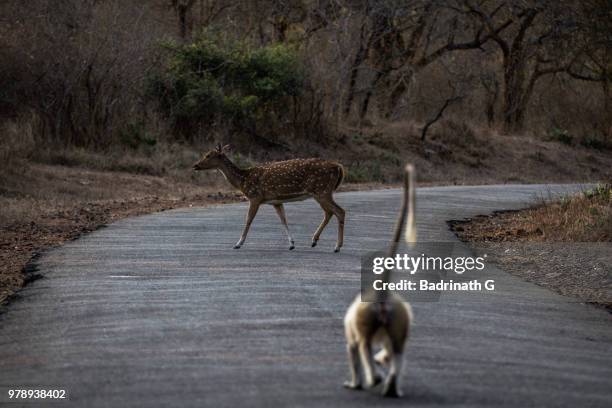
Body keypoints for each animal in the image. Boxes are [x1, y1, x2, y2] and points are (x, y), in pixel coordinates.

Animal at [192, 143, 344, 252]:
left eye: (208, 155)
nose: (195, 165)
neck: (243, 180)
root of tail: (338, 167)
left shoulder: (255, 197)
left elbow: (248, 220)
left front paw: (238, 243)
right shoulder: (276, 201)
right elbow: (283, 220)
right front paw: (291, 244)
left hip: (322, 190)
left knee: (339, 211)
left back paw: (337, 246)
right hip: (322, 192)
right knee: (330, 212)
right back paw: (315, 241)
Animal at [344, 163, 416, 398]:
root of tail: (381, 295)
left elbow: (353, 349)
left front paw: (355, 383)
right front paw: (383, 360)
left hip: (364, 318)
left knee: (363, 345)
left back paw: (373, 379)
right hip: (399, 318)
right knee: (399, 349)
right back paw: (391, 387)